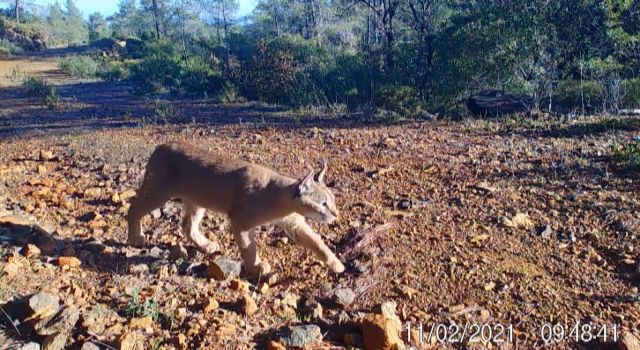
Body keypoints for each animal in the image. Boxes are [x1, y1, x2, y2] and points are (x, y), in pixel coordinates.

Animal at [126, 142, 344, 276]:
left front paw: (336, 264)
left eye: (333, 201)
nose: (336, 214)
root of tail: (162, 145)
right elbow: (248, 246)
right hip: (159, 191)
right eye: (323, 203)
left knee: (188, 225)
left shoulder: (295, 224)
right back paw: (136, 238)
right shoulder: (241, 220)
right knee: (134, 207)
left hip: (197, 200)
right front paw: (256, 266)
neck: (281, 198)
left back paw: (205, 245)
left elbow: (317, 242)